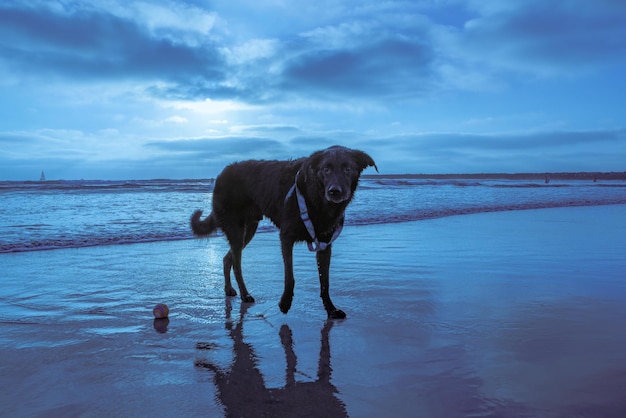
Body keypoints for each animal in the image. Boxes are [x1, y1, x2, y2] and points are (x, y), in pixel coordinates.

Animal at [190, 145, 376, 318]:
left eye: (347, 169)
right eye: (326, 169)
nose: (334, 191)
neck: (315, 196)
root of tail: (222, 174)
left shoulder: (324, 245)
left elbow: (325, 282)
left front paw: (331, 309)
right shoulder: (286, 237)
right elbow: (289, 276)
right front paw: (285, 302)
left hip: (248, 230)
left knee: (227, 258)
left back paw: (229, 289)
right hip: (236, 229)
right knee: (237, 265)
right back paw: (245, 294)